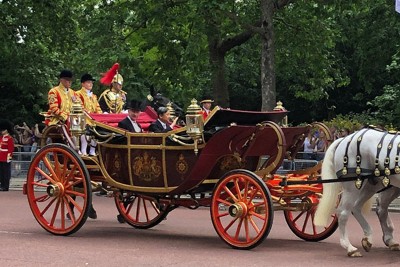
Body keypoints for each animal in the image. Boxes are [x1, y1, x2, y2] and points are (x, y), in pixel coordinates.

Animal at [314, 129, 400, 258]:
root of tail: (344, 139)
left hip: (373, 185)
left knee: (362, 207)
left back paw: (372, 239)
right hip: (353, 187)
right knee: (344, 212)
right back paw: (350, 248)